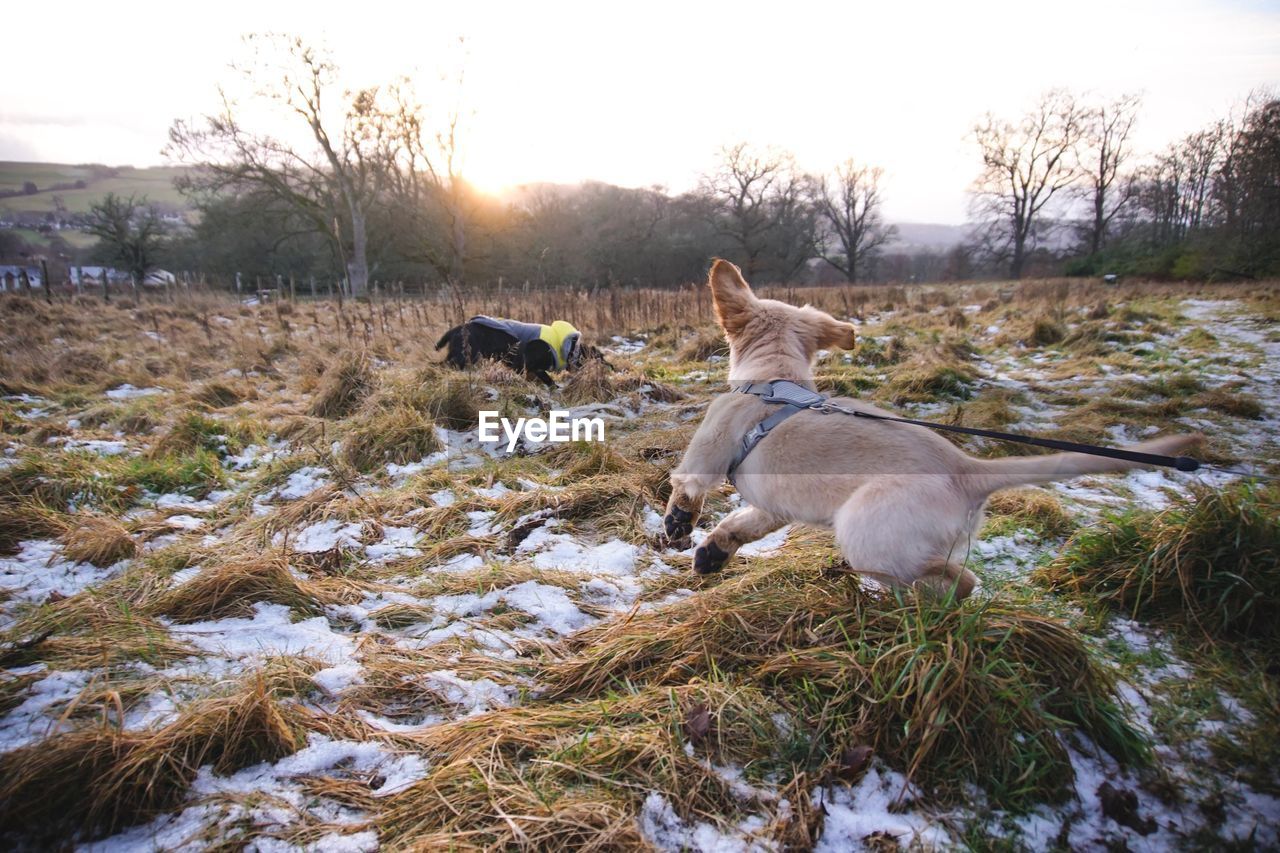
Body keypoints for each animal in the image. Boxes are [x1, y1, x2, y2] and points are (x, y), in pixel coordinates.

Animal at [665, 258, 1203, 596]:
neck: (774, 379)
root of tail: (968, 471)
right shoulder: (774, 507)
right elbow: (739, 524)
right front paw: (711, 554)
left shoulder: (710, 446)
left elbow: (687, 487)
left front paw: (678, 526)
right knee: (955, 578)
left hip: (865, 534)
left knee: (957, 581)